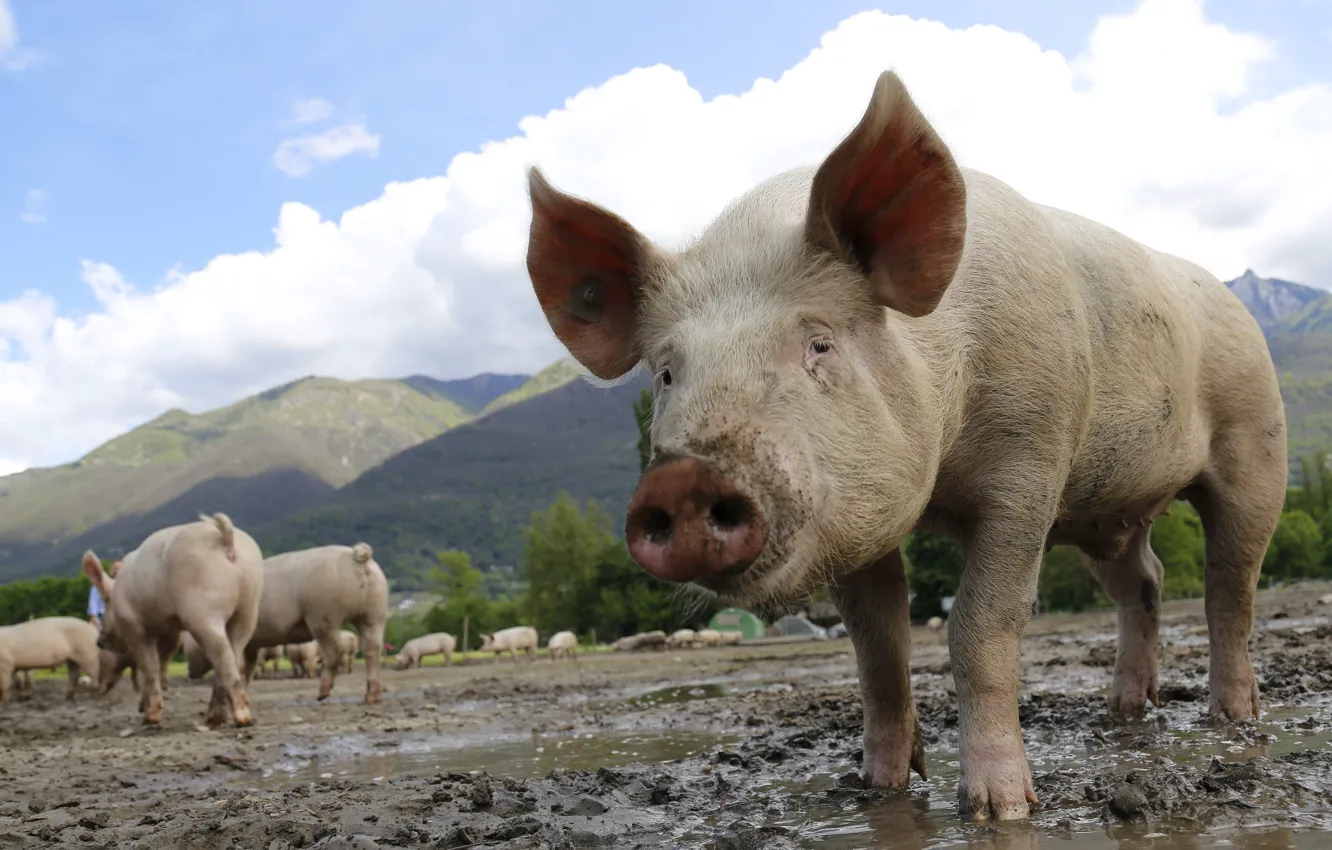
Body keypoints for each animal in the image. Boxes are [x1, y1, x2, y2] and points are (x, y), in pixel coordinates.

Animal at [84, 513, 265, 727]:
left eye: (103, 613)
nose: (99, 641)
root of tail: (226, 539)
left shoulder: (133, 626)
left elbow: (149, 666)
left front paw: (150, 718)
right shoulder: (170, 630)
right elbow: (161, 662)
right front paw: (143, 708)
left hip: (202, 607)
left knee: (221, 653)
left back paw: (242, 718)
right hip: (249, 605)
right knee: (235, 650)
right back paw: (214, 718)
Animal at [239, 543, 389, 704]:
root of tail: (356, 557)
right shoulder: (251, 644)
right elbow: (247, 667)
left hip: (323, 614)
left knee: (335, 652)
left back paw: (322, 694)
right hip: (374, 612)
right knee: (372, 649)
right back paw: (371, 696)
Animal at [521, 69, 1286, 822]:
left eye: (819, 344)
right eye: (668, 373)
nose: (682, 481)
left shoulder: (1031, 461)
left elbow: (979, 628)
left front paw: (999, 809)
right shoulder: (853, 517)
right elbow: (878, 648)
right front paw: (876, 790)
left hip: (1254, 439)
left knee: (1229, 585)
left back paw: (1233, 719)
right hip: (1110, 511)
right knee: (1145, 583)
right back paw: (1124, 710)